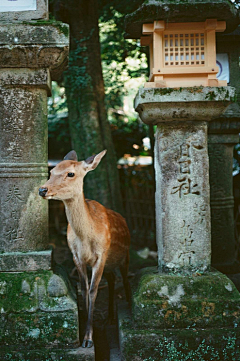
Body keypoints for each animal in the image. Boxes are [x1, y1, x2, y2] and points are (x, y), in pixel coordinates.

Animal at [38, 149, 130, 346]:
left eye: (71, 173)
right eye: (52, 171)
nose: (42, 189)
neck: (86, 238)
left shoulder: (101, 254)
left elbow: (94, 291)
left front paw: (89, 339)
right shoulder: (76, 256)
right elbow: (84, 289)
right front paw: (87, 334)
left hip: (124, 255)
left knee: (125, 280)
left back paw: (128, 305)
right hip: (109, 263)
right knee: (112, 279)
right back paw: (109, 317)